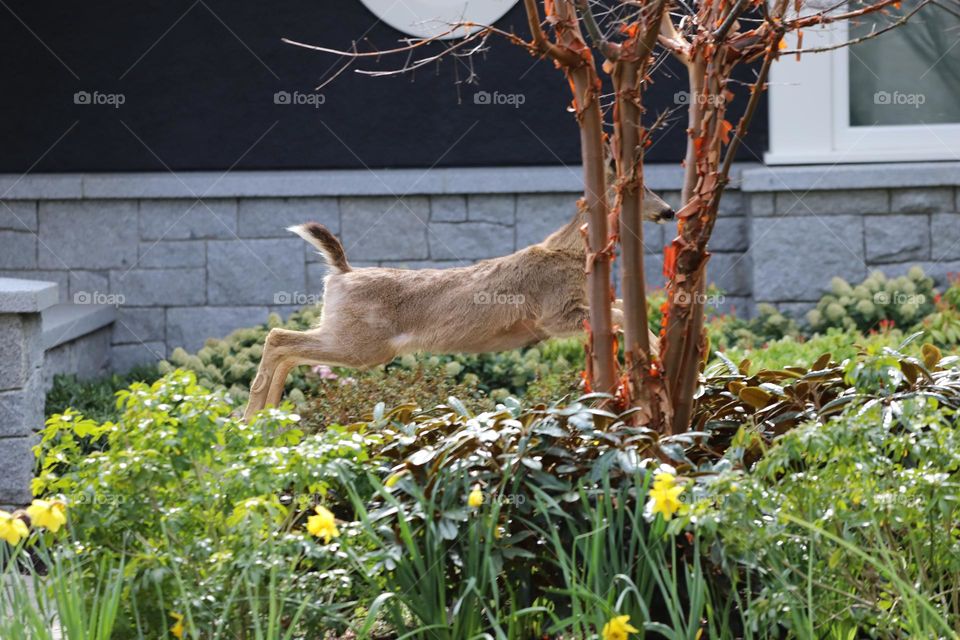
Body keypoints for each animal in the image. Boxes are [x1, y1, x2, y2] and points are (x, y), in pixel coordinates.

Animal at [242, 190, 676, 420]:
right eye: (639, 191)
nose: (669, 211)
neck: (573, 253)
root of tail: (341, 273)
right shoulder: (554, 315)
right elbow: (621, 312)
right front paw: (656, 350)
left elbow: (623, 305)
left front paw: (656, 349)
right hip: (361, 344)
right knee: (279, 337)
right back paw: (254, 416)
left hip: (346, 336)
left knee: (288, 348)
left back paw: (267, 417)